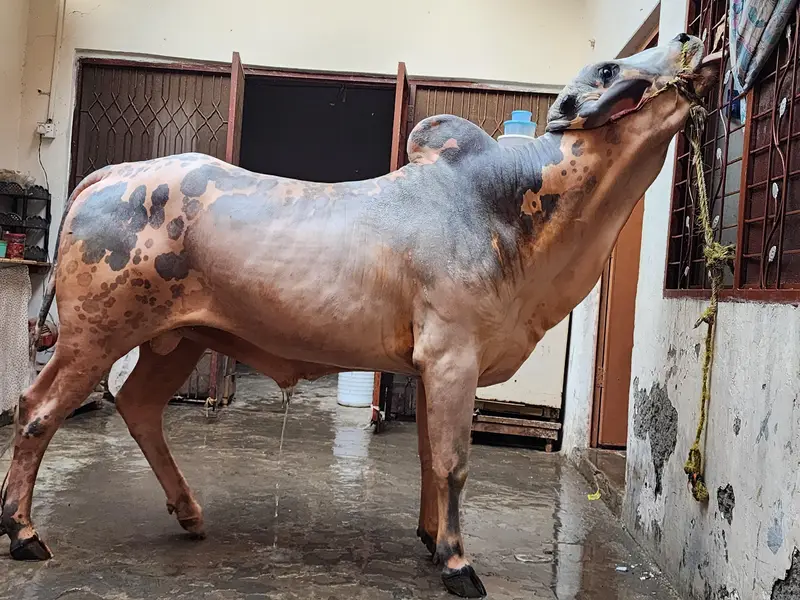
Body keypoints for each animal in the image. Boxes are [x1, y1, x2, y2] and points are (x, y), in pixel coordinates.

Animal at [1, 33, 718, 598]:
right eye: (609, 68)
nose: (692, 37)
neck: (513, 210)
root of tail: (111, 173)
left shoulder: (433, 366)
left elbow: (430, 457)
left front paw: (431, 538)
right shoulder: (452, 356)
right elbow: (453, 461)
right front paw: (458, 564)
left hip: (177, 339)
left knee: (138, 406)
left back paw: (189, 513)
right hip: (96, 333)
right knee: (36, 410)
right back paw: (25, 532)